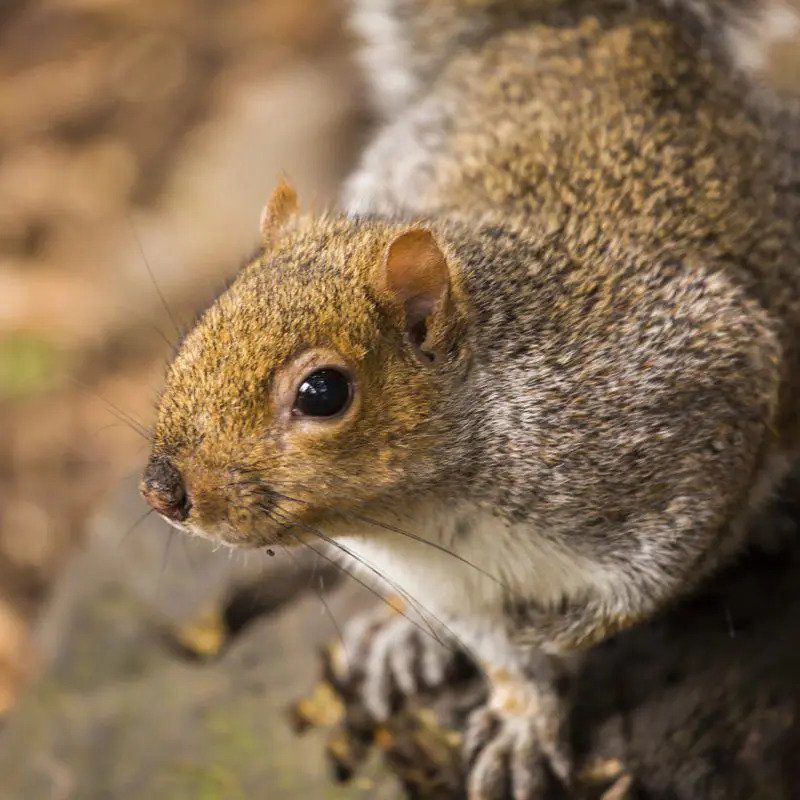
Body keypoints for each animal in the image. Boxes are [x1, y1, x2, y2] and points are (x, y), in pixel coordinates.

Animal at [141, 1, 800, 797]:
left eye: (322, 393)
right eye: (203, 321)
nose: (162, 489)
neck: (432, 510)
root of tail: (612, 29)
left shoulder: (698, 393)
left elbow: (653, 577)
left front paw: (561, 632)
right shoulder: (453, 585)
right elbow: (503, 659)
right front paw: (522, 720)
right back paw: (398, 638)